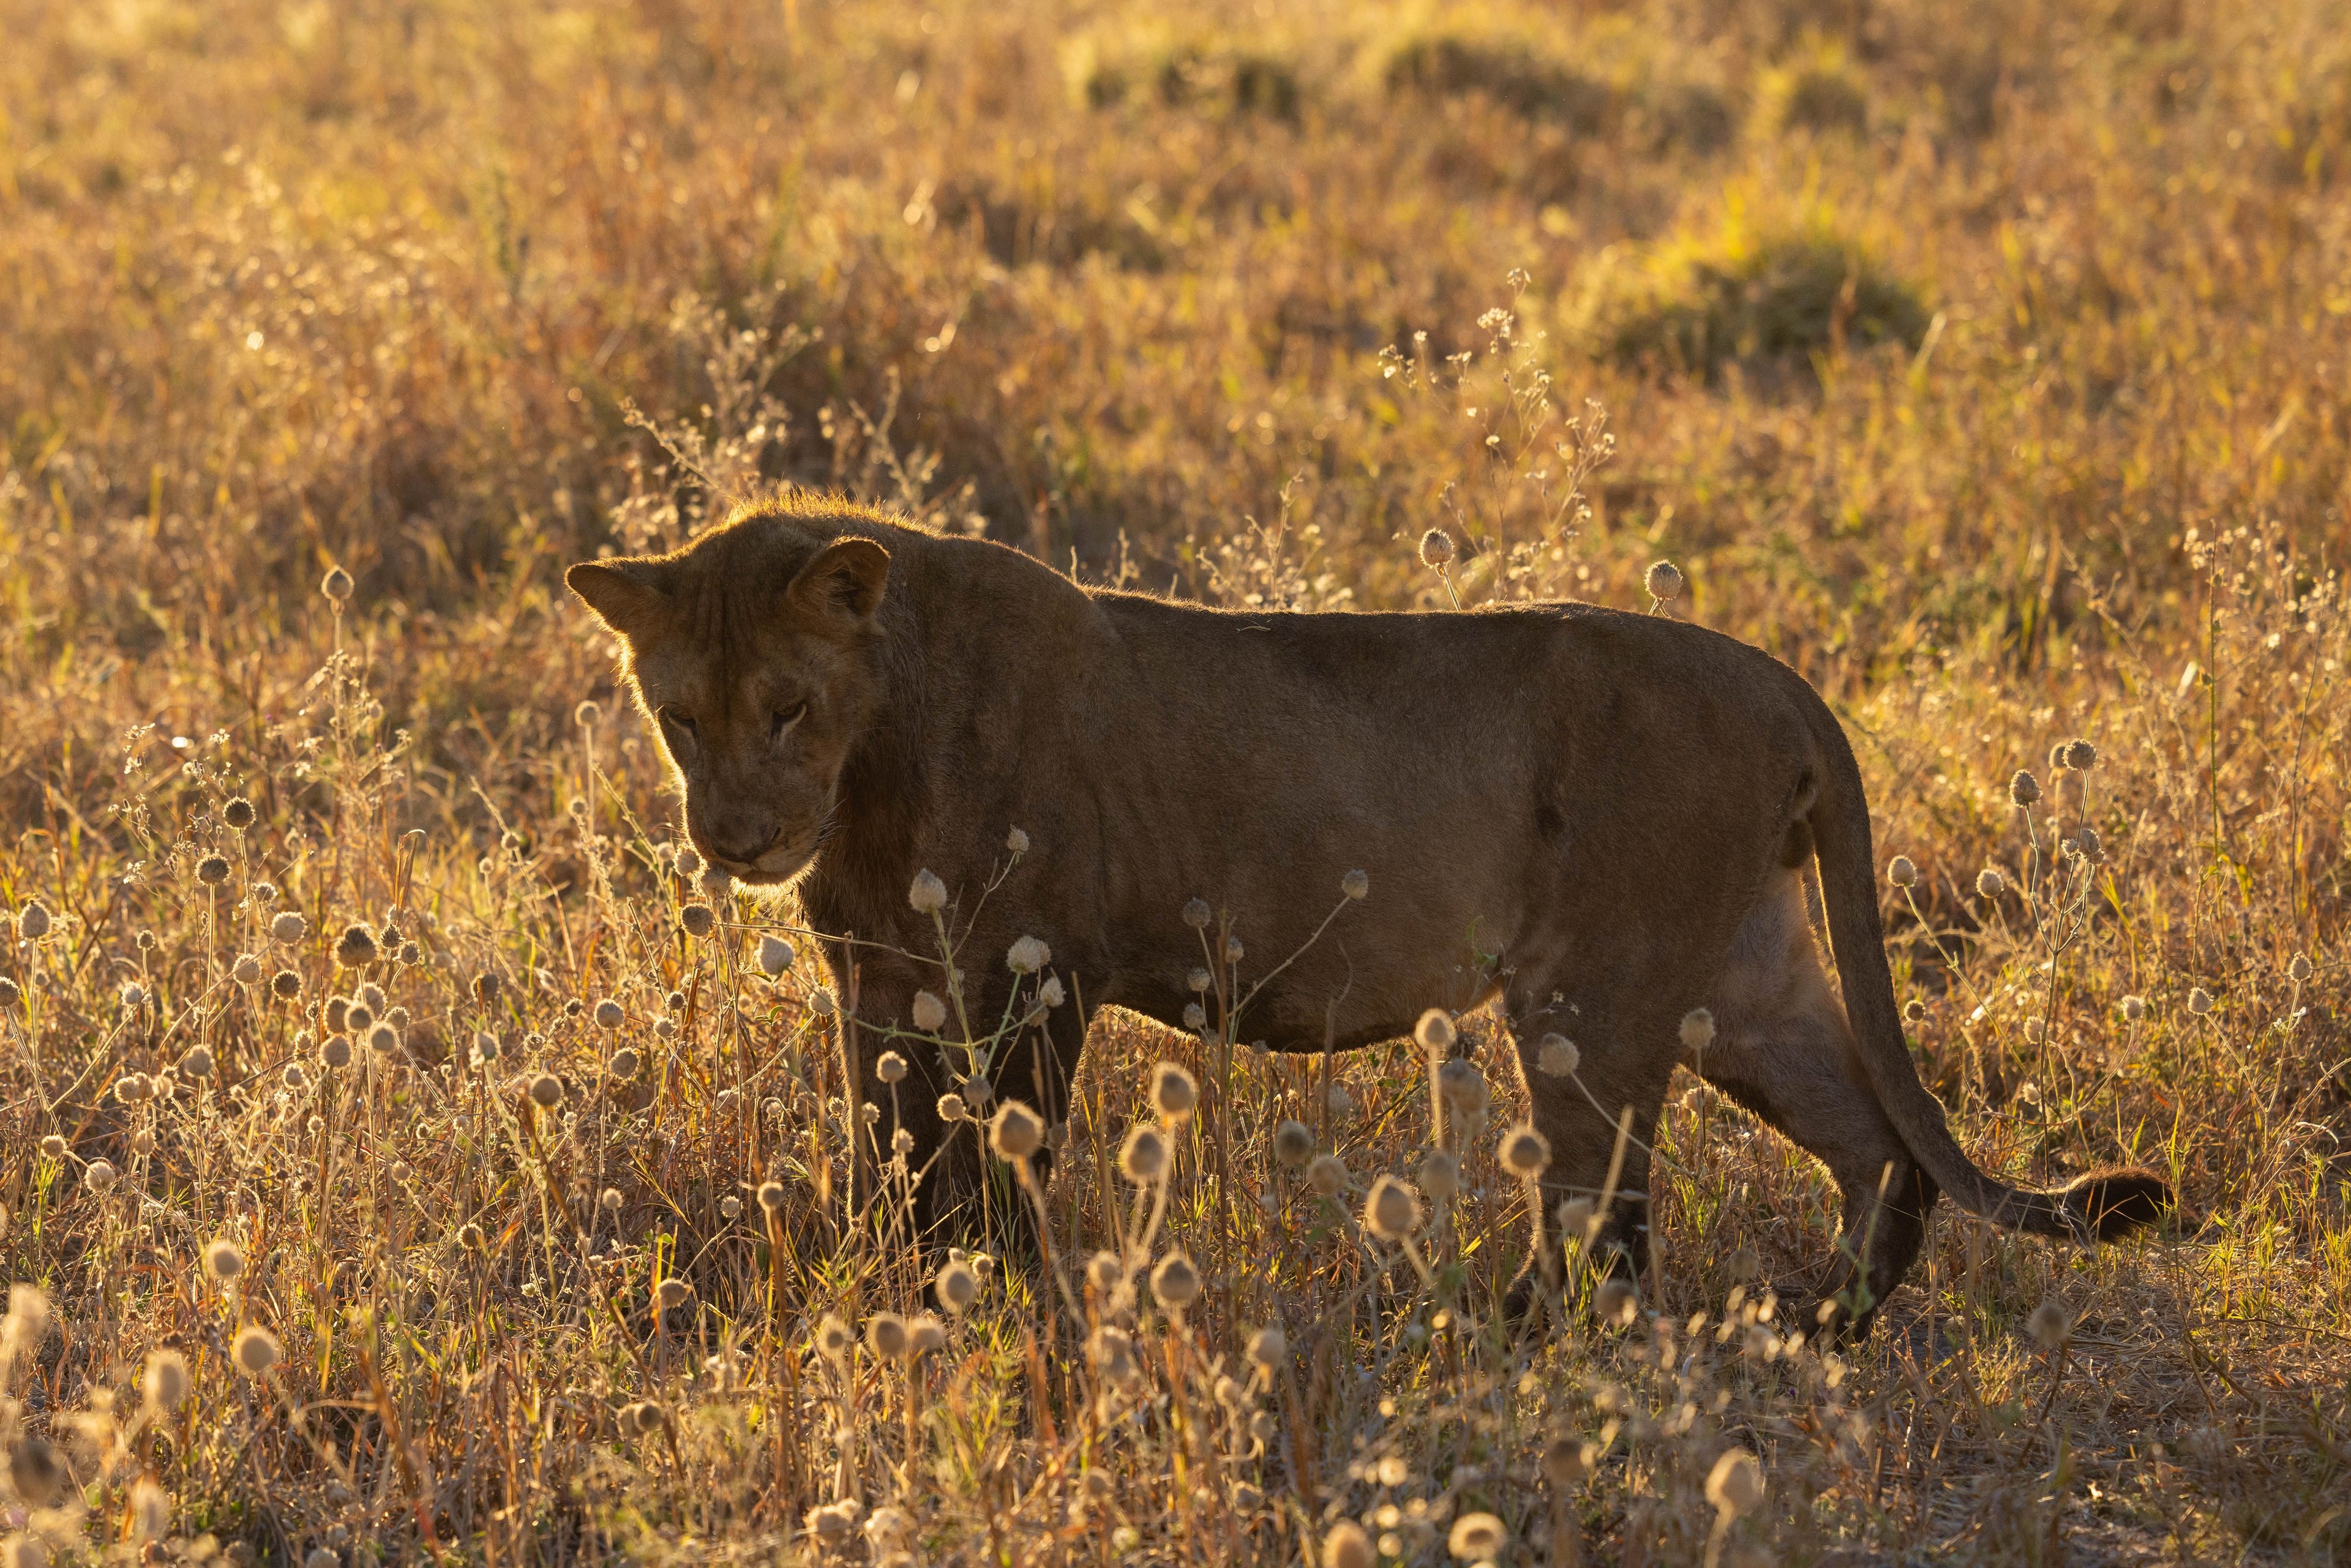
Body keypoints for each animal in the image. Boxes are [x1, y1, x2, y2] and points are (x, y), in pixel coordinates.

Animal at [569, 491, 2162, 1335]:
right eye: (679, 715)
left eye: (787, 704)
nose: (735, 836)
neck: (867, 772)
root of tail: (1778, 677)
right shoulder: (880, 986)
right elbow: (893, 1158)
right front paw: (902, 1287)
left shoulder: (1033, 976)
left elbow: (994, 1168)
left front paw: (1009, 1304)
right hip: (1744, 985)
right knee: (1878, 1149)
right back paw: (1819, 1323)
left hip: (1597, 996)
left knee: (1607, 1217)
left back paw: (1505, 1334)